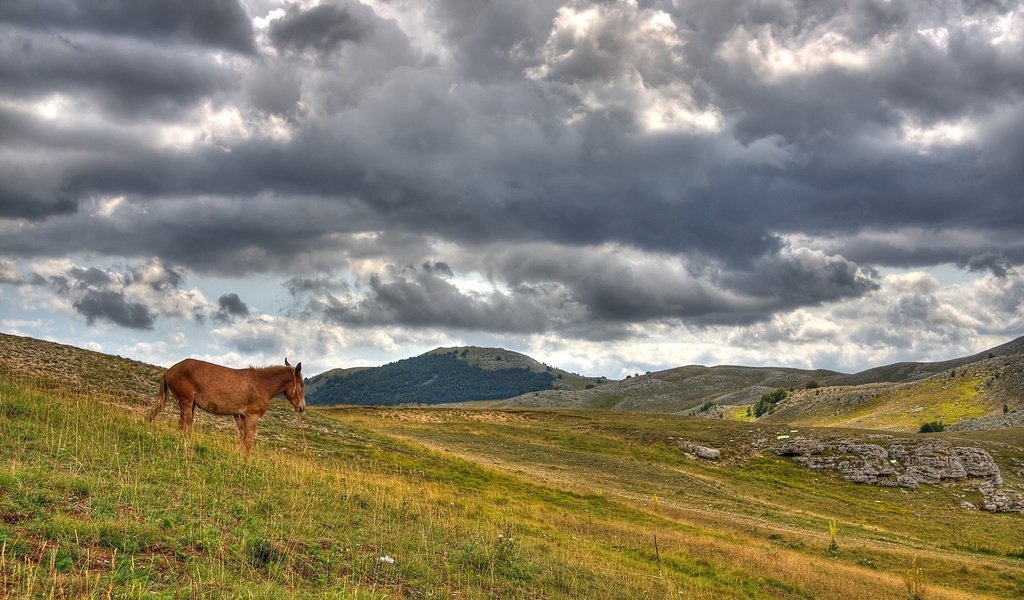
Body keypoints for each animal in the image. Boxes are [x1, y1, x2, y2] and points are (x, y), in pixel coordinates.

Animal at [146, 354, 303, 452]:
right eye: (301, 384)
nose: (301, 407)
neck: (261, 384)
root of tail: (169, 371)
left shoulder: (240, 416)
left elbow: (243, 438)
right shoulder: (252, 417)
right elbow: (249, 440)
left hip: (187, 404)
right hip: (186, 402)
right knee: (185, 425)